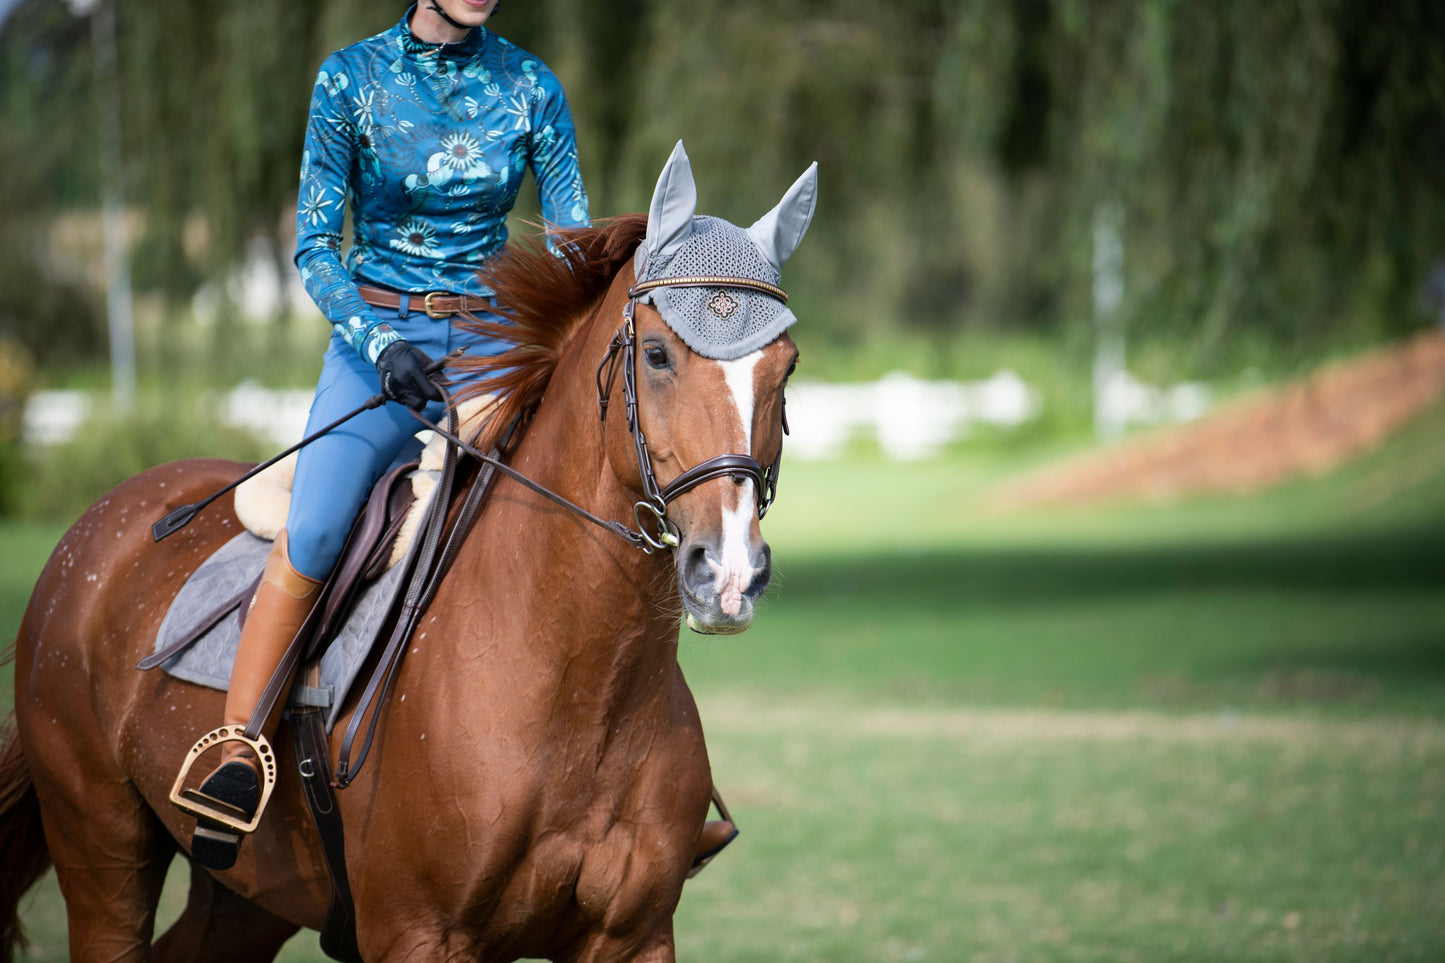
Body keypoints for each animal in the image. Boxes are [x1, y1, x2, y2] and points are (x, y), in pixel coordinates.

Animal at [0, 144, 814, 960]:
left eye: (788, 366)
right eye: (655, 354)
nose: (729, 572)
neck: (582, 692)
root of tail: (101, 524)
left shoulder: (633, 937)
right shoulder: (420, 934)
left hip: (246, 895)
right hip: (101, 849)